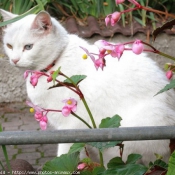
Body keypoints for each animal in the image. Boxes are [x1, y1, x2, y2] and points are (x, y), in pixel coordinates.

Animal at [1, 9, 175, 165]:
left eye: (28, 47)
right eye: (9, 46)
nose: (14, 60)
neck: (54, 66)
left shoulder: (70, 128)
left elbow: (64, 155)